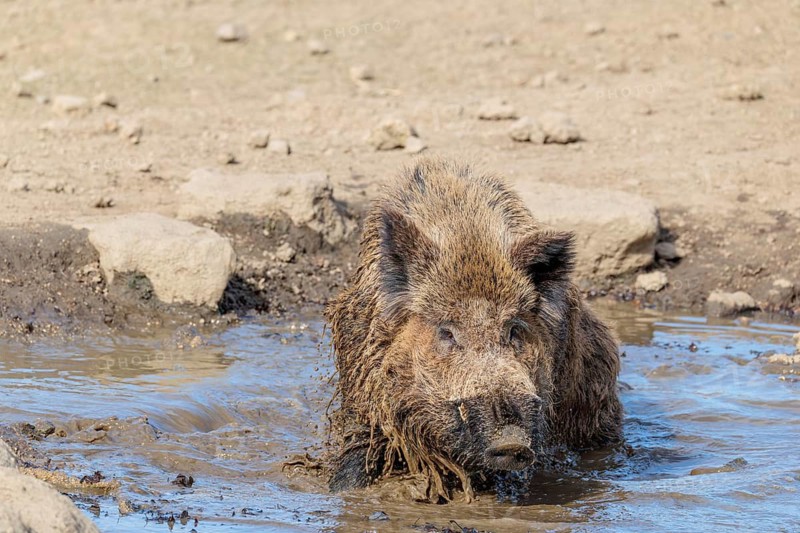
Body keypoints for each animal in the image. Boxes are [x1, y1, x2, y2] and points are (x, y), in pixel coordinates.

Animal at [325, 158, 622, 502]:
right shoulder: (363, 392)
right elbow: (358, 453)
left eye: (514, 329)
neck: (468, 240)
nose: (511, 441)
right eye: (447, 332)